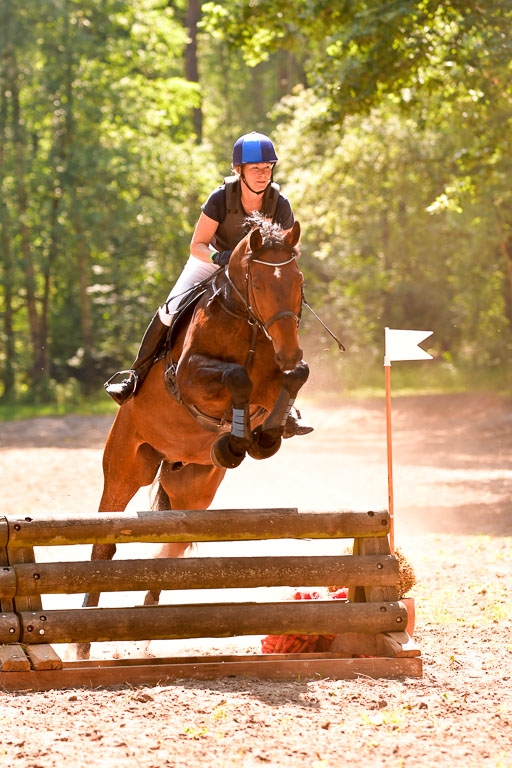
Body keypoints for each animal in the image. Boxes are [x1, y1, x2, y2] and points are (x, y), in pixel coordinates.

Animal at [76, 213, 308, 656]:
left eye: (298, 280)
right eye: (258, 284)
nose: (290, 350)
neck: (246, 322)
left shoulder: (276, 377)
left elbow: (292, 379)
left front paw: (262, 436)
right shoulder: (189, 377)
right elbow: (235, 377)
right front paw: (239, 436)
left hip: (194, 488)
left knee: (170, 550)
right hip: (127, 467)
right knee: (104, 543)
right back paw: (80, 645)